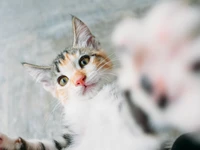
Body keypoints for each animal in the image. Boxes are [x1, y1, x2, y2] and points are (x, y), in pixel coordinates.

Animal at [0, 15, 161, 149]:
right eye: (63, 80)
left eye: (84, 61)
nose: (79, 80)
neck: (92, 101)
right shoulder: (70, 138)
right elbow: (47, 144)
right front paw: (9, 142)